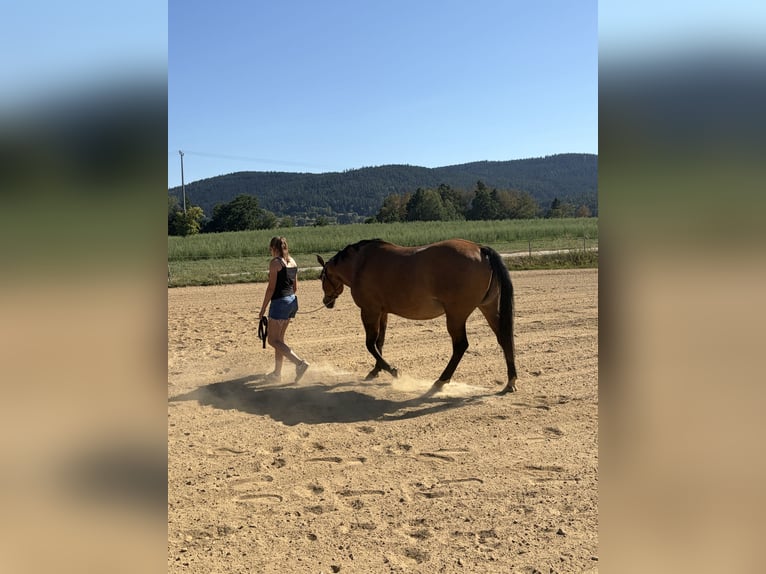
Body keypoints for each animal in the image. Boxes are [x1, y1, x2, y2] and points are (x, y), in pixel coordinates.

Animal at [316, 238, 518, 394]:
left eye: (322, 277)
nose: (326, 301)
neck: (361, 263)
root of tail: (480, 249)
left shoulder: (369, 310)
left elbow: (370, 344)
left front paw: (392, 370)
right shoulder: (382, 312)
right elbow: (380, 343)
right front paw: (376, 370)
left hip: (456, 315)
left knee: (460, 345)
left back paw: (440, 381)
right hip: (487, 307)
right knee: (504, 338)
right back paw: (511, 381)